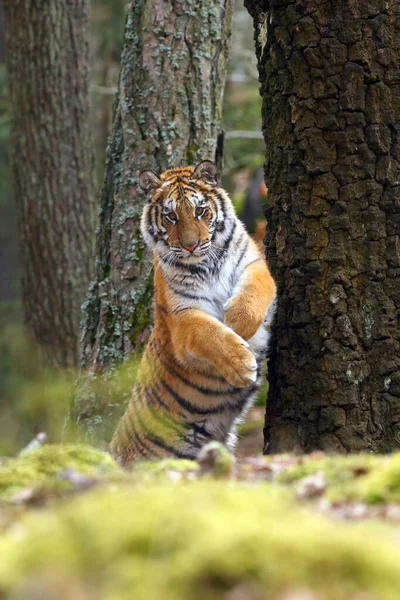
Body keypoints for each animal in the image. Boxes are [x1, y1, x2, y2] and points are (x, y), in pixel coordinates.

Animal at [110, 162, 278, 466]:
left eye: (200, 211)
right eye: (171, 216)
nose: (190, 245)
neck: (207, 265)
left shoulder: (254, 265)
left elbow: (254, 293)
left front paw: (237, 323)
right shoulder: (184, 316)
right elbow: (211, 334)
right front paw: (242, 364)